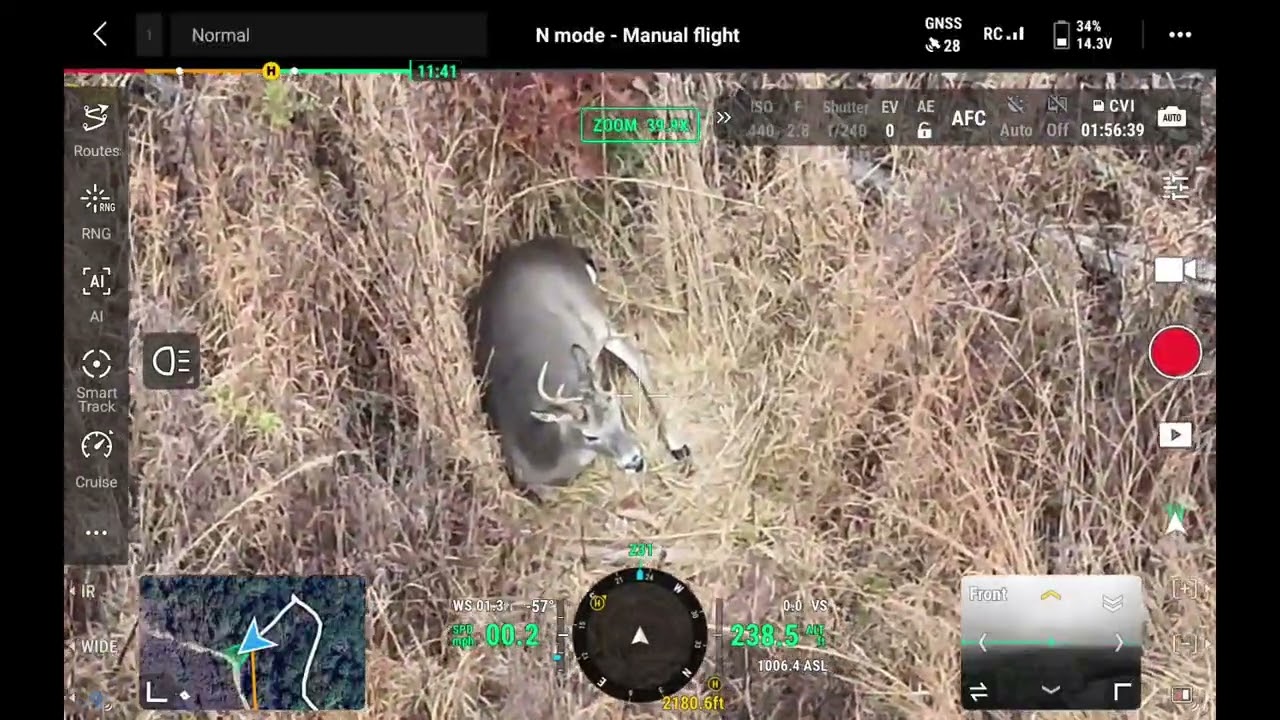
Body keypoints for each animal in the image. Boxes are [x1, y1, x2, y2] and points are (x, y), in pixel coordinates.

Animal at [468, 237, 691, 496]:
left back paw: (678, 446)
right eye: (590, 435)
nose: (634, 460)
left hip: (592, 315)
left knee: (634, 354)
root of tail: (564, 247)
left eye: (617, 413)